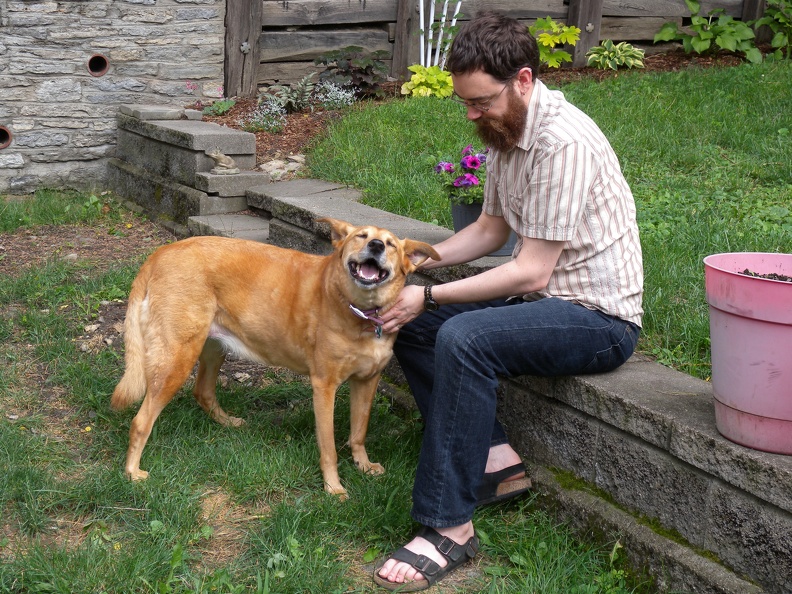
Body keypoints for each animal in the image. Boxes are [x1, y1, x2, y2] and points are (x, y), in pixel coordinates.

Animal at [111, 218, 439, 497]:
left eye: (391, 244)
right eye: (361, 236)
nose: (377, 246)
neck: (361, 313)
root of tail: (161, 252)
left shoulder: (367, 381)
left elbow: (359, 432)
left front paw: (363, 465)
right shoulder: (324, 386)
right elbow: (329, 448)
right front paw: (333, 487)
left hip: (213, 347)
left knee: (202, 391)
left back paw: (227, 422)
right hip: (177, 358)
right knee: (141, 421)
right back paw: (132, 472)